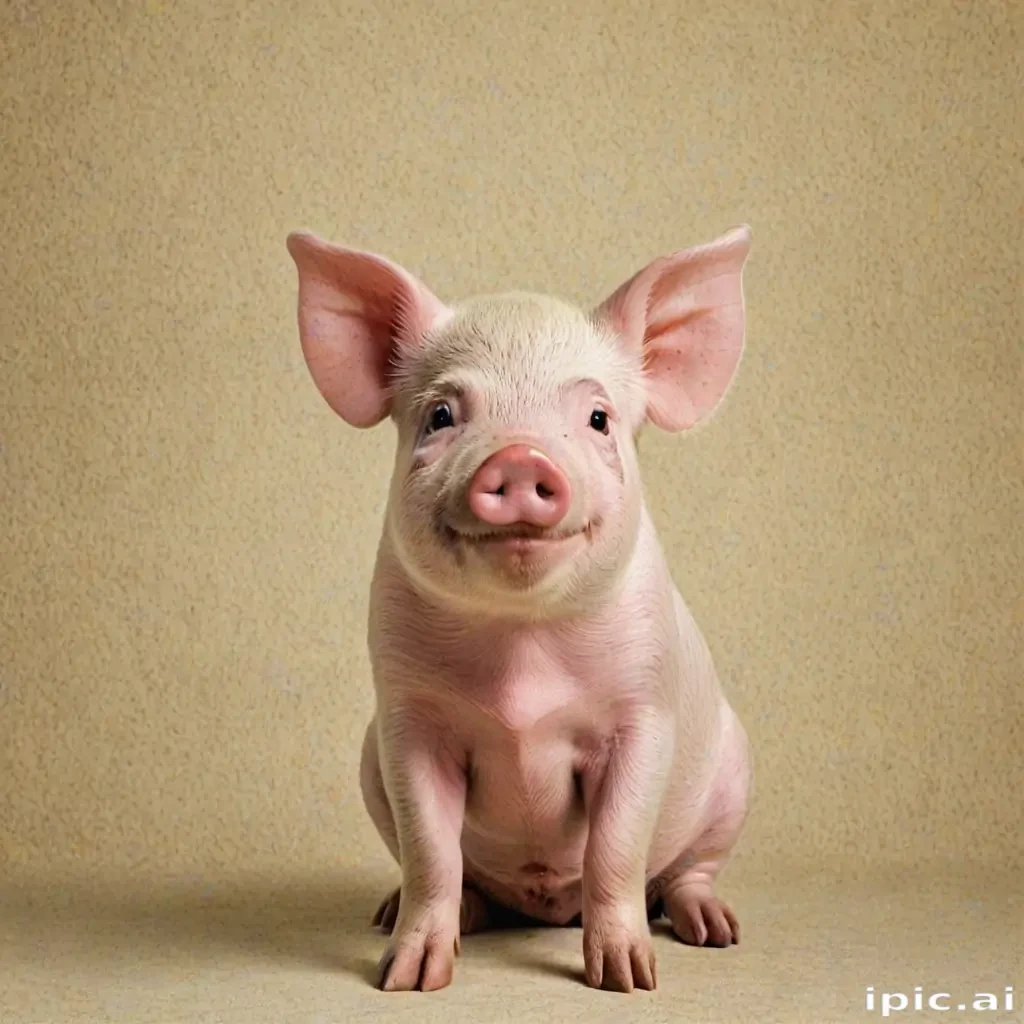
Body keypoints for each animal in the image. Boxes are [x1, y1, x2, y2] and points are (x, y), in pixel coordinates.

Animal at [286, 225, 753, 993]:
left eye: (597, 418)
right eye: (442, 415)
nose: (520, 457)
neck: (521, 652)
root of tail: (546, 907)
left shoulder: (643, 714)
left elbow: (616, 847)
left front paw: (628, 981)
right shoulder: (409, 722)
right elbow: (430, 852)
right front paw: (406, 979)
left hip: (734, 777)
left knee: (686, 872)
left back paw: (716, 931)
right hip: (367, 761)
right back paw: (398, 914)